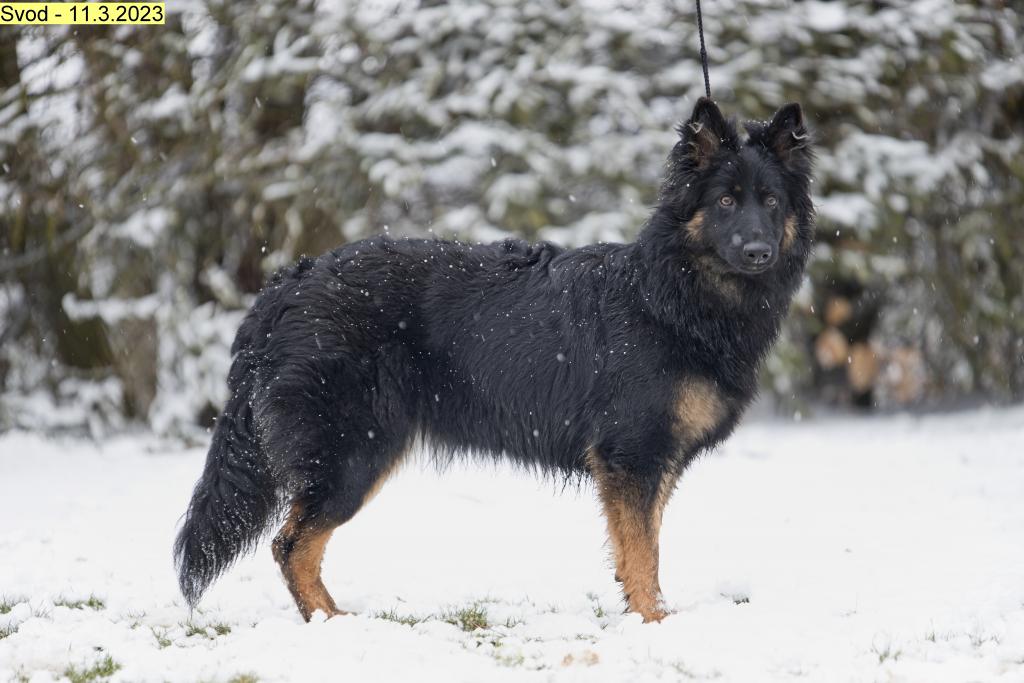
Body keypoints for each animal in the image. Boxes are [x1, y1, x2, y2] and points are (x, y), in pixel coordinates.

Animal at [174, 98, 814, 623]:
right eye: (726, 201)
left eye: (771, 202)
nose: (758, 250)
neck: (670, 293)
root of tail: (286, 284)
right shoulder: (632, 457)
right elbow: (643, 555)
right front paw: (654, 624)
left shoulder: (649, 465)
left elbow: (642, 549)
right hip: (353, 456)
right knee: (291, 545)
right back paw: (334, 625)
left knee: (295, 546)